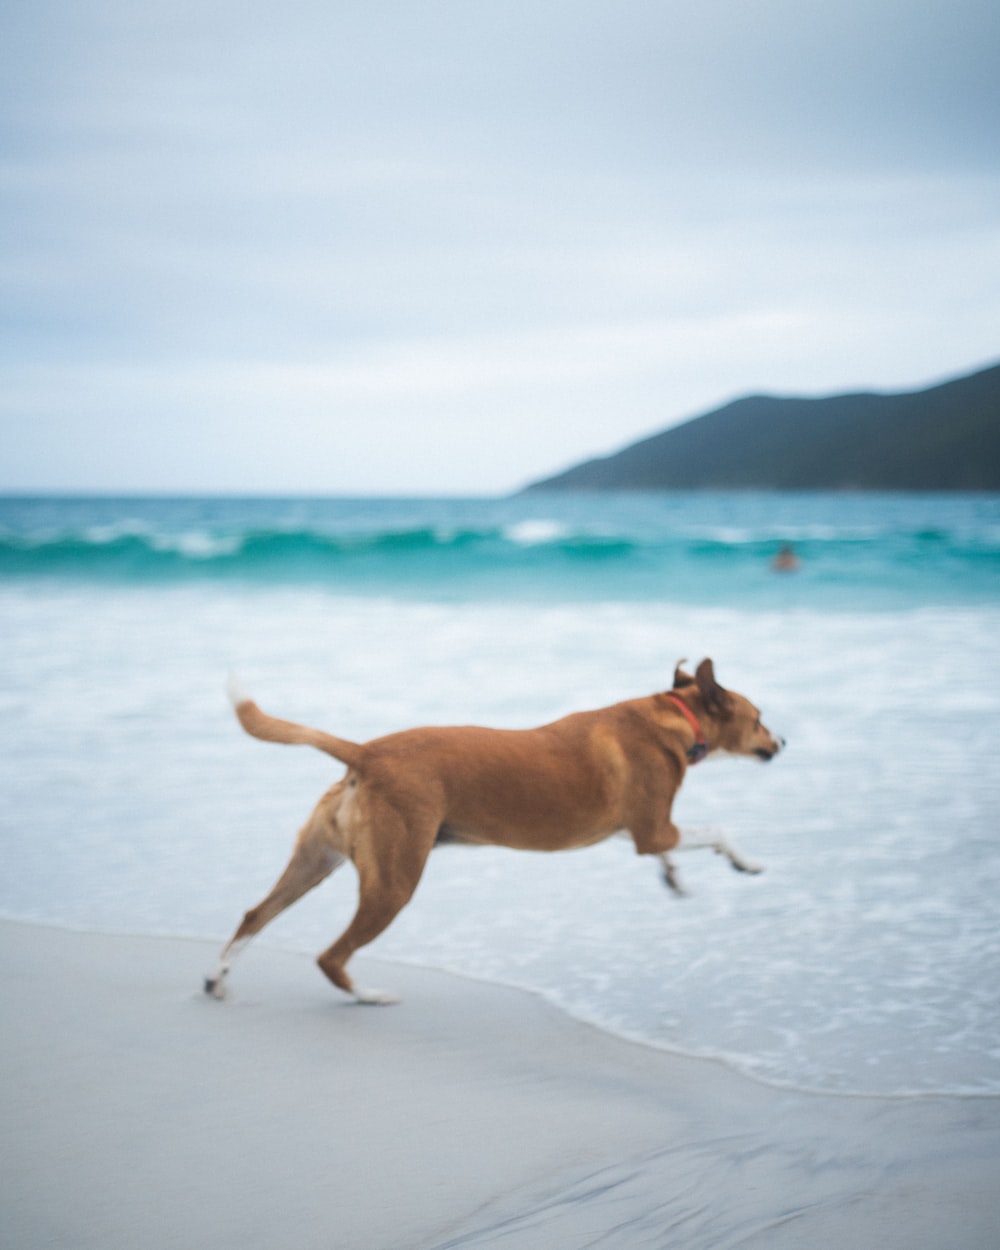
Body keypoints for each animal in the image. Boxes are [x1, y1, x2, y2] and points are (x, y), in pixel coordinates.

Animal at [207, 660, 785, 1000]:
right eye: (759, 718)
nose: (782, 742)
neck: (674, 714)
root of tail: (367, 752)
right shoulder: (653, 827)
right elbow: (716, 830)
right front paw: (748, 862)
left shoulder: (634, 829)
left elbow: (670, 851)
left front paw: (675, 877)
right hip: (394, 883)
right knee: (331, 955)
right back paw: (367, 994)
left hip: (316, 860)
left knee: (255, 915)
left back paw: (217, 978)